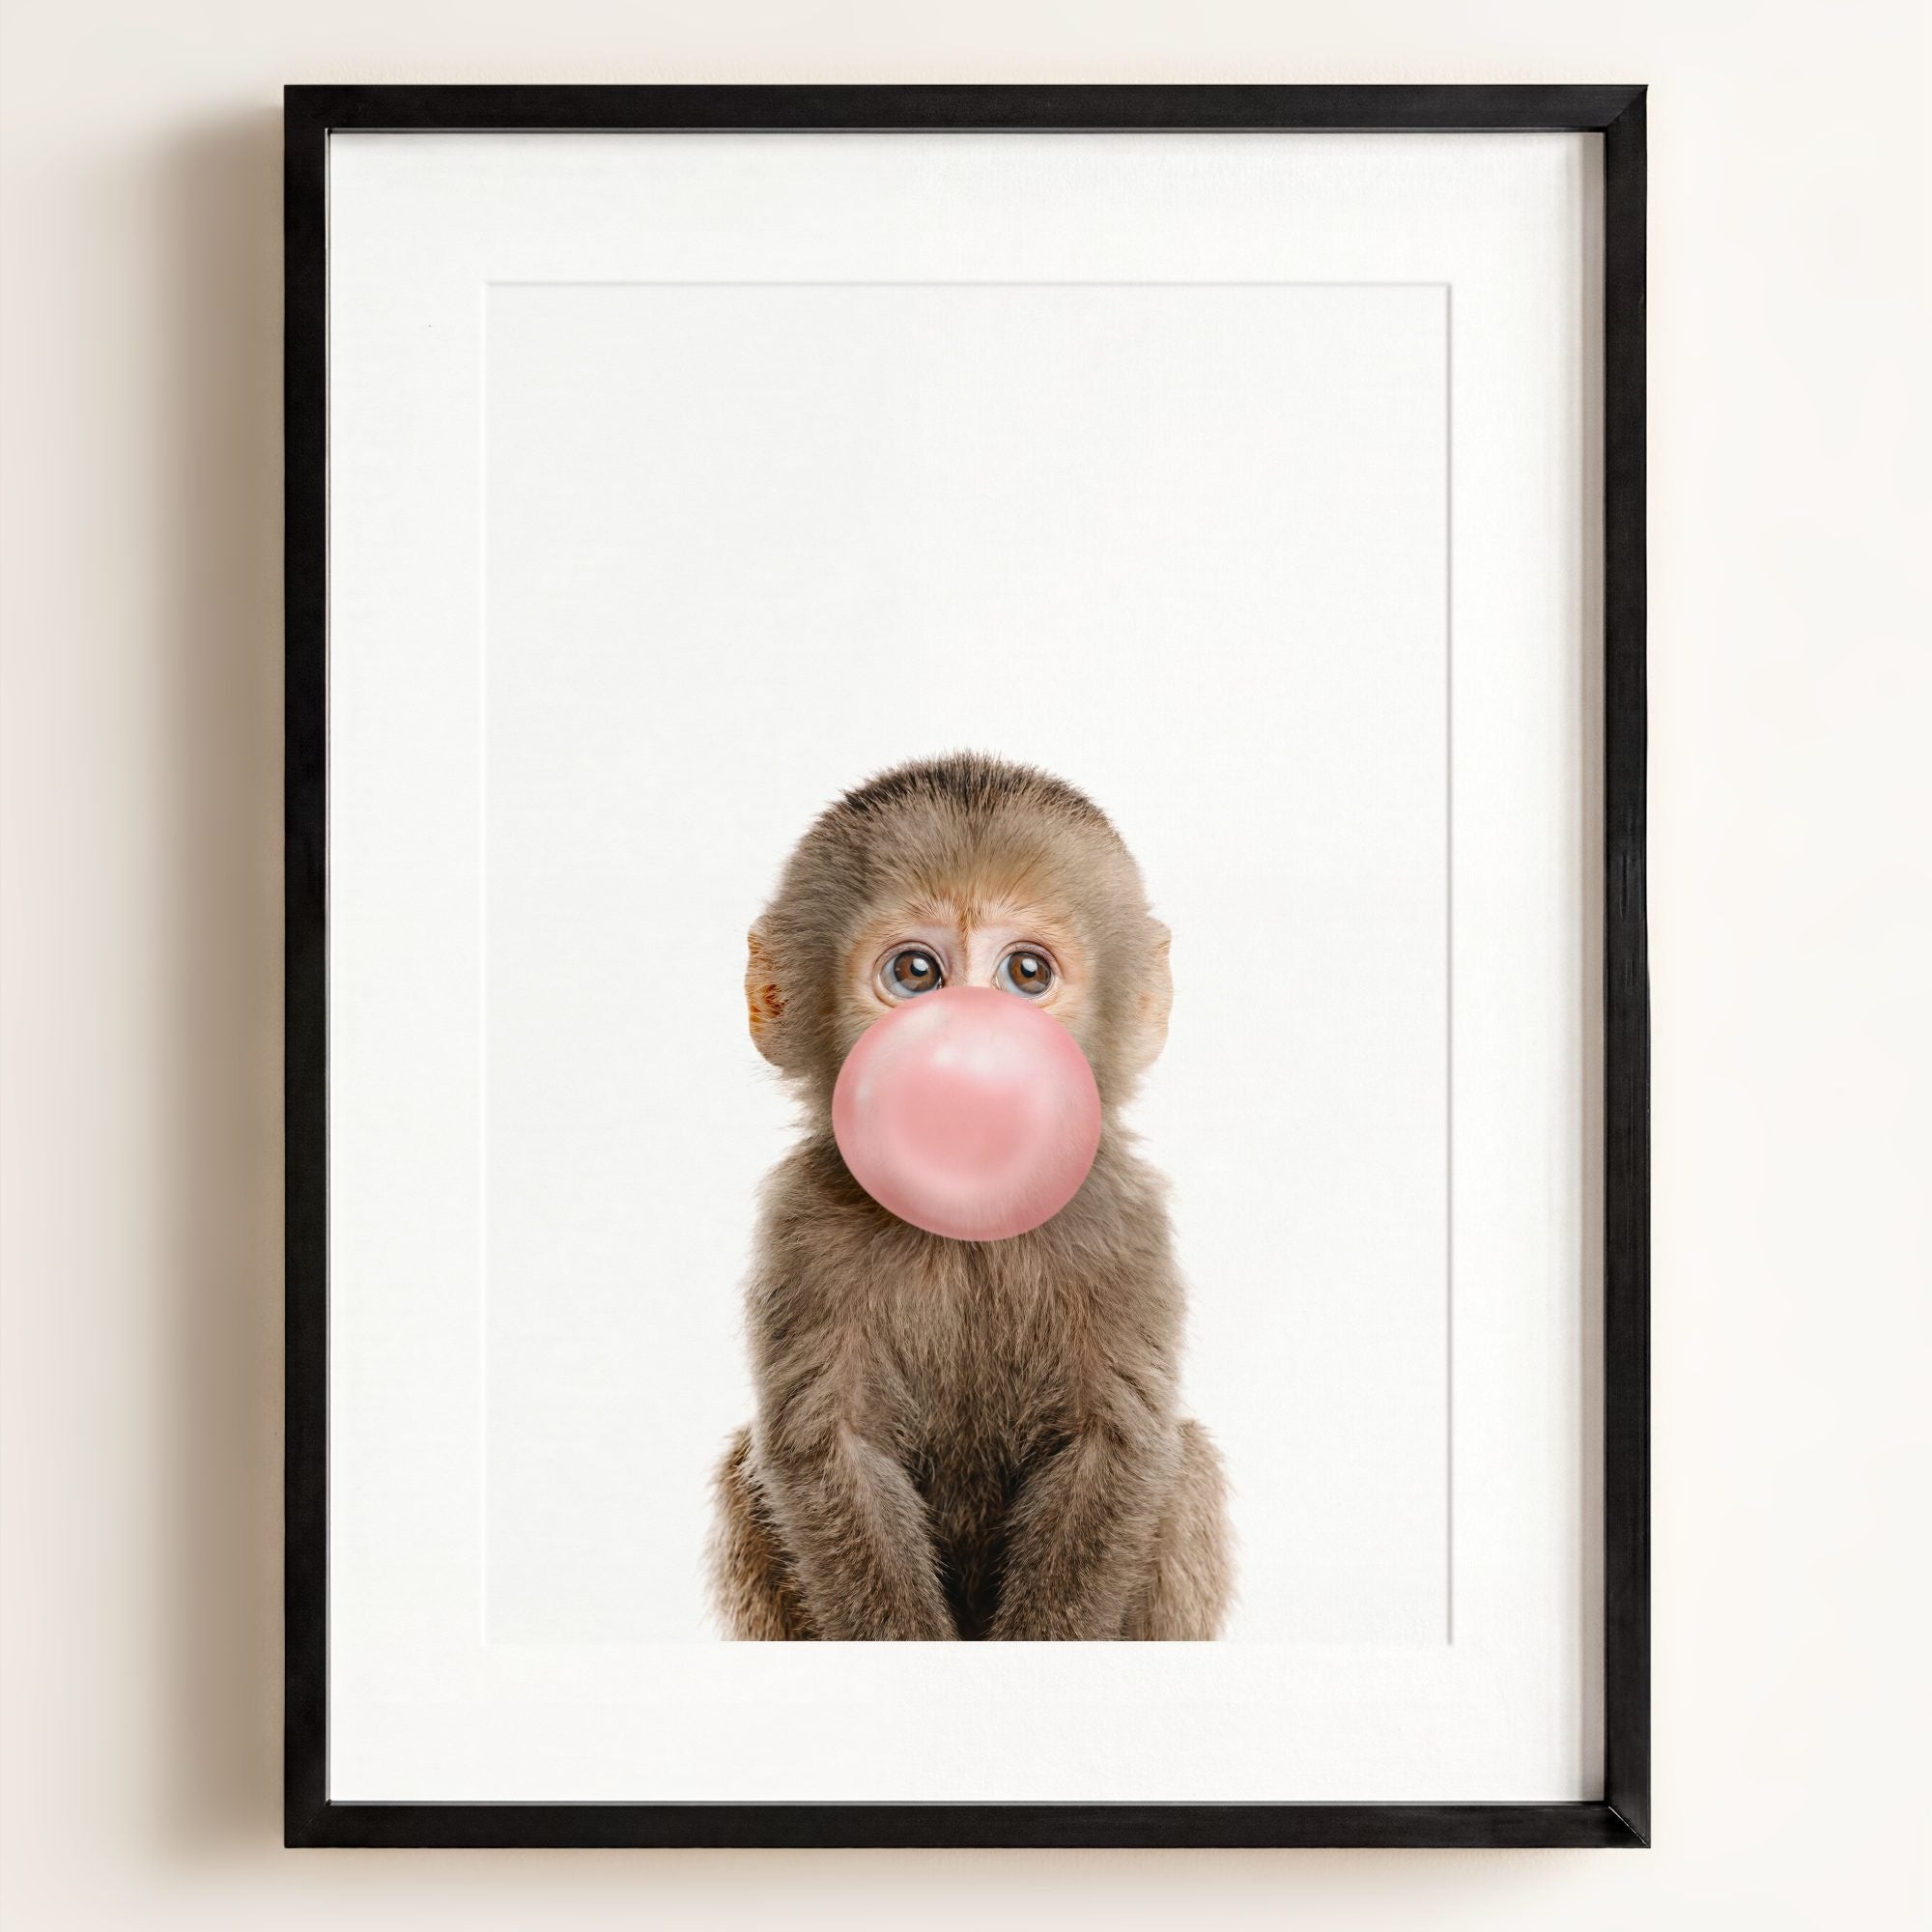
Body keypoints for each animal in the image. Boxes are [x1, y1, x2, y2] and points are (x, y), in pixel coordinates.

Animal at [710, 753, 1231, 1640]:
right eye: (916, 973)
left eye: (1026, 973)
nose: (970, 1044)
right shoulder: (803, 1222)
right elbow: (830, 1450)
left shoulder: (1122, 1220)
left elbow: (1115, 1446)